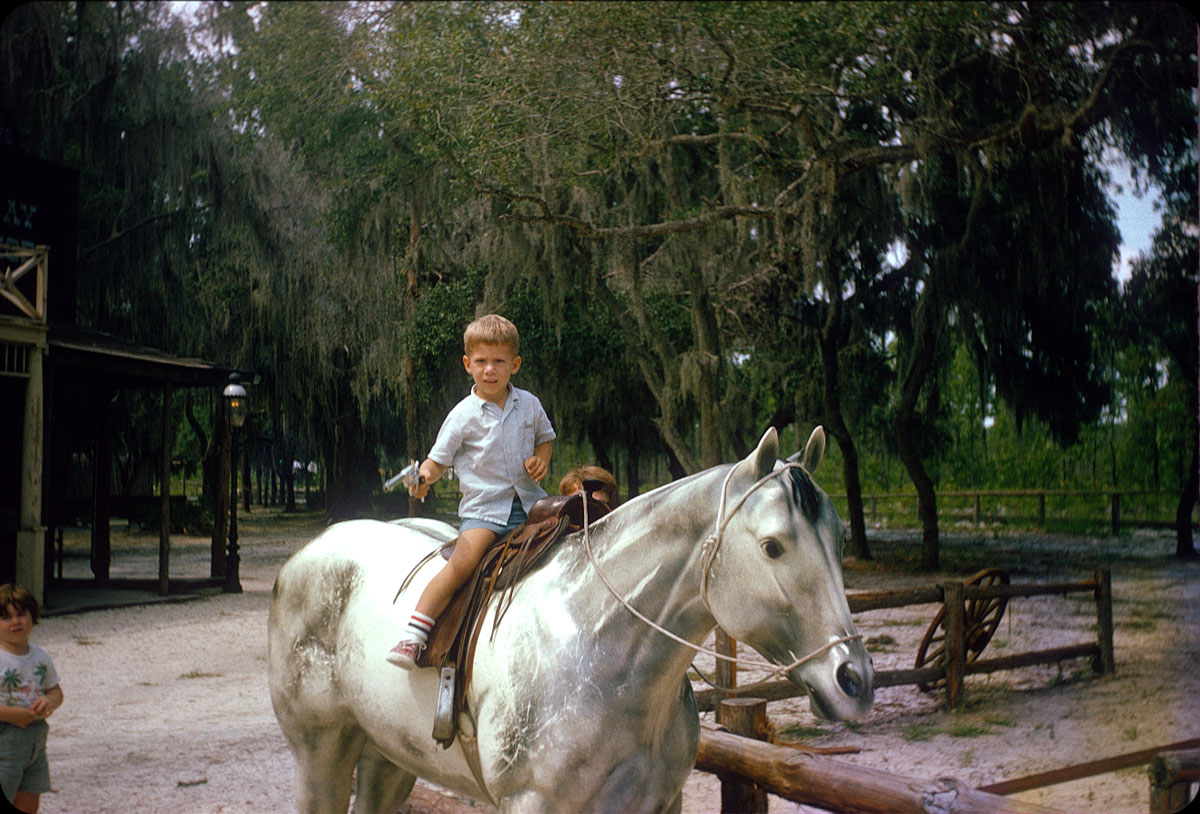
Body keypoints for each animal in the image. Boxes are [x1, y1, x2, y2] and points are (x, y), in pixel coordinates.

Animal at [270, 429, 873, 811]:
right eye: (772, 546)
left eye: (840, 538)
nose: (855, 680)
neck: (604, 649)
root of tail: (309, 553)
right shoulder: (532, 805)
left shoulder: (662, 803)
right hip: (320, 755)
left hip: (388, 756)